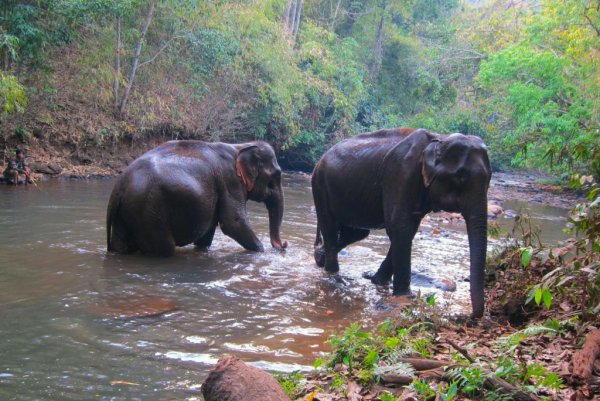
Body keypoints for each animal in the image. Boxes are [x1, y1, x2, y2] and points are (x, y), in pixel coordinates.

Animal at [106, 139, 288, 255]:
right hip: (148, 211)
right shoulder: (230, 182)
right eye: (275, 176)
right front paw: (261, 252)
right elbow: (233, 223)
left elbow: (207, 234)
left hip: (127, 213)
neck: (241, 146)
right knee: (164, 248)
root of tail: (119, 186)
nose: (284, 245)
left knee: (120, 246)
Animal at [312, 126, 490, 318]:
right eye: (460, 176)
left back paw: (320, 257)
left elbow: (408, 230)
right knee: (331, 227)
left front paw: (378, 281)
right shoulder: (400, 174)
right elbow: (400, 226)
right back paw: (332, 274)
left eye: (489, 179)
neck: (439, 138)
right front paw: (405, 296)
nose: (464, 316)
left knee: (356, 233)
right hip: (319, 185)